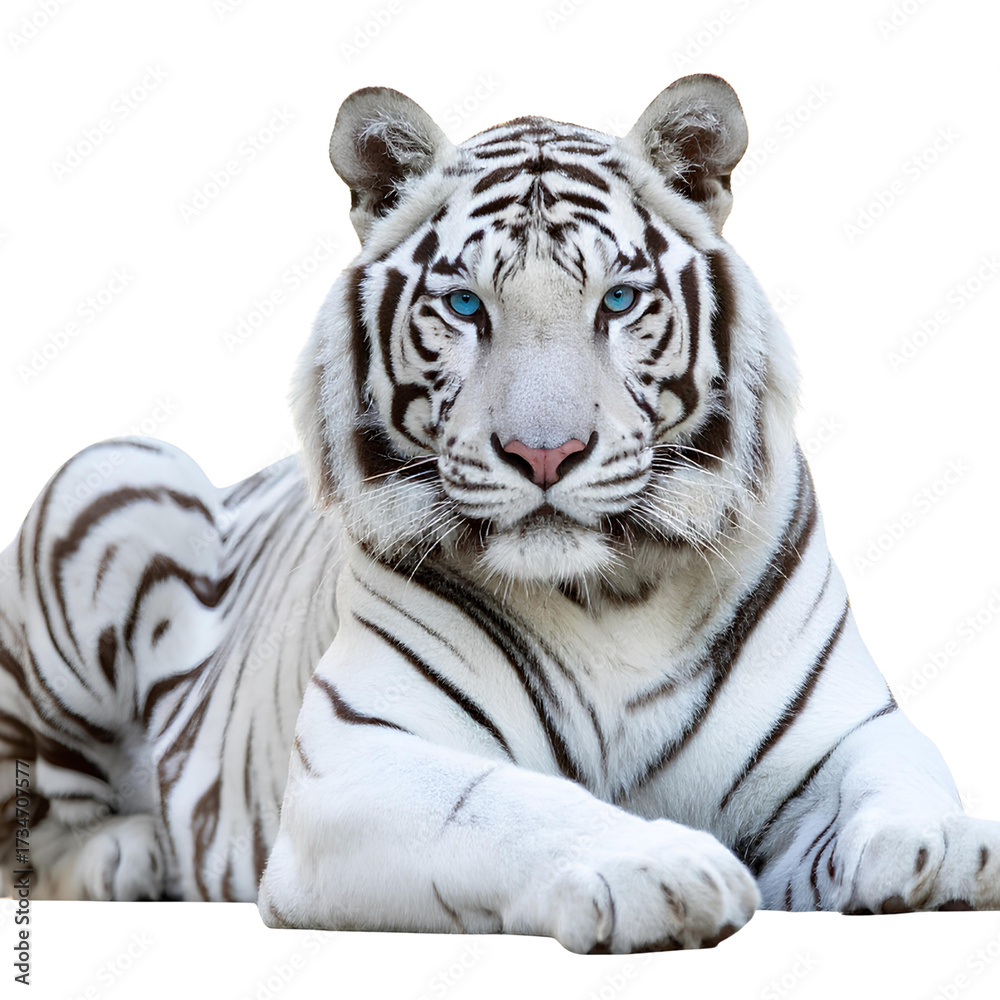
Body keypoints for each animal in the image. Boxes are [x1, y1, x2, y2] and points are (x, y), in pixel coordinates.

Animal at [2, 73, 999, 954]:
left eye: (618, 301)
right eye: (465, 305)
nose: (545, 453)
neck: (615, 592)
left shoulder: (845, 732)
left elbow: (899, 777)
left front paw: (945, 849)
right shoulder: (358, 759)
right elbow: (508, 803)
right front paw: (662, 870)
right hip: (116, 473)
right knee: (35, 822)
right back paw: (128, 854)